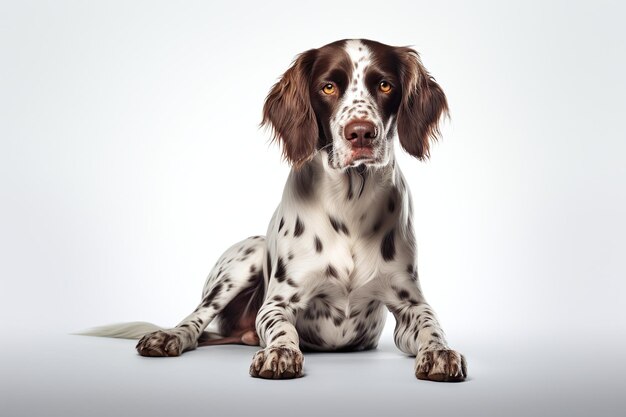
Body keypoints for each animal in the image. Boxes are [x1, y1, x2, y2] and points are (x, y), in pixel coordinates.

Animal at [81, 39, 464, 380]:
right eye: (328, 87)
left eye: (384, 85)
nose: (361, 133)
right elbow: (283, 329)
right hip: (243, 261)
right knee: (194, 320)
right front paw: (279, 353)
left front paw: (441, 352)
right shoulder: (278, 302)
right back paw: (168, 337)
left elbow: (431, 325)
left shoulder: (409, 303)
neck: (350, 204)